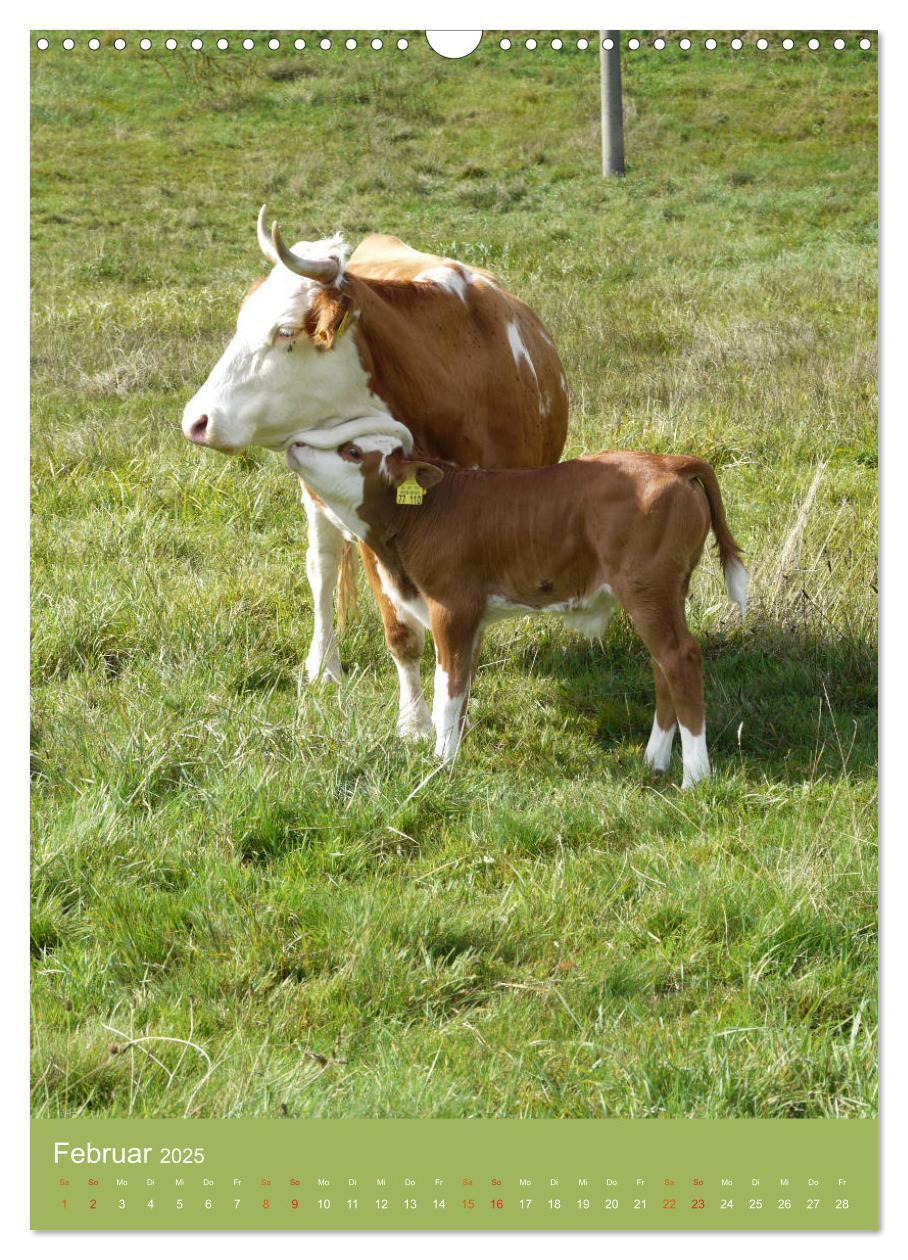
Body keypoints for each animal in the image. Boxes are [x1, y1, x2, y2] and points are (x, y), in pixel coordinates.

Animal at [181, 209, 566, 735]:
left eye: (285, 331)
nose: (196, 420)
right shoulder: (374, 532)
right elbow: (401, 631)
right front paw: (415, 724)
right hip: (316, 500)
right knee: (322, 570)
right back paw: (323, 666)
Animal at [287, 423, 745, 786]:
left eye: (351, 451)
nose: (294, 443)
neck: (424, 515)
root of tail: (672, 462)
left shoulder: (452, 605)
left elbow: (447, 688)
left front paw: (441, 763)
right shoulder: (470, 616)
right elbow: (461, 686)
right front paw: (452, 752)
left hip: (648, 588)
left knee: (680, 658)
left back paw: (696, 777)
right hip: (663, 592)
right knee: (661, 663)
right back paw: (654, 761)